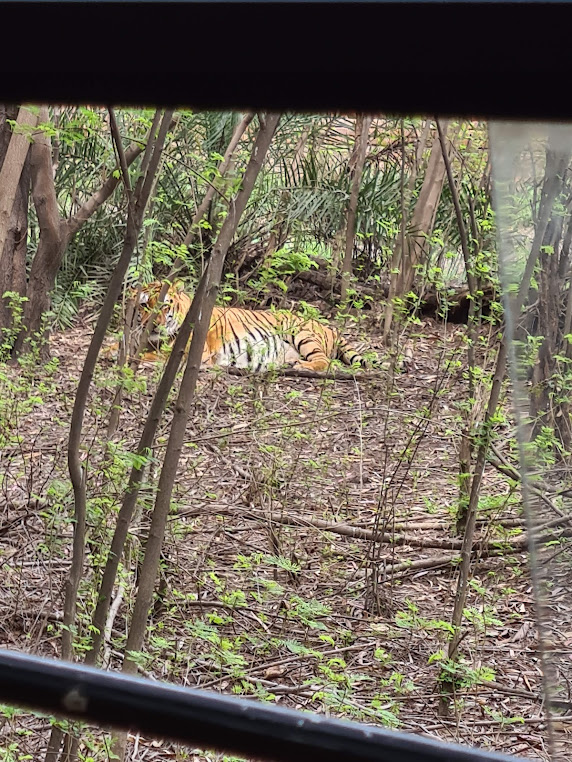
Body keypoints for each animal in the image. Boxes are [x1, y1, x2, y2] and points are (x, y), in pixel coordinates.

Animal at [131, 280, 369, 373]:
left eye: (164, 306)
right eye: (144, 305)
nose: (154, 325)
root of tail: (329, 327)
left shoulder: (190, 352)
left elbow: (145, 356)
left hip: (302, 333)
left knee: (325, 361)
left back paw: (301, 366)